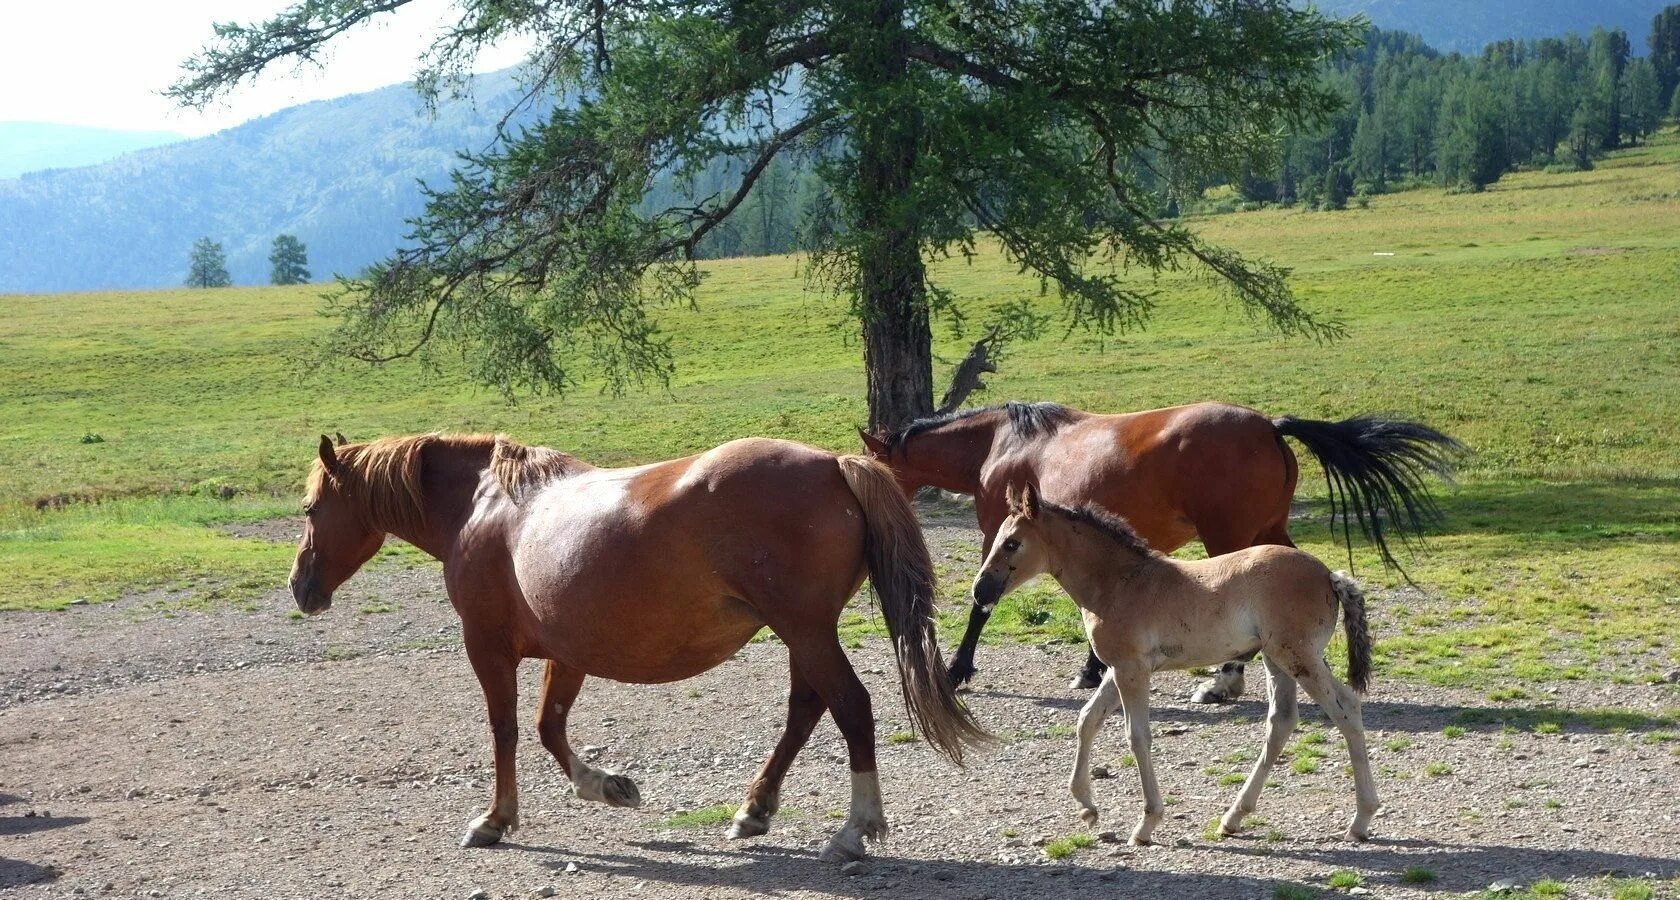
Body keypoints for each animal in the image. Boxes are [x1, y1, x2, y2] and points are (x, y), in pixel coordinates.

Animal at [287, 433, 981, 859]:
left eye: (312, 507)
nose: (301, 586)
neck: (484, 507)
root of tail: (834, 463)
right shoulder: (566, 653)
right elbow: (548, 727)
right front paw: (607, 786)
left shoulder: (486, 646)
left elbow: (506, 729)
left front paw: (496, 819)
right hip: (803, 636)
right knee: (806, 711)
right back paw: (754, 809)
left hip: (806, 632)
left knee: (851, 708)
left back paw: (854, 829)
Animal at [860, 401, 1464, 695]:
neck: (1004, 443)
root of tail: (1269, 425)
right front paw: (1091, 671)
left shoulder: (999, 535)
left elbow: (981, 604)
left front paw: (956, 669)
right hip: (1270, 533)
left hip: (1231, 538)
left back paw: (1224, 681)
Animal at [974, 483, 1377, 842]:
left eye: (1012, 543)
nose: (980, 591)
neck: (1120, 583)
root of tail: (1329, 575)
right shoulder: (1119, 669)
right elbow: (1087, 720)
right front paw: (1087, 807)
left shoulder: (1131, 671)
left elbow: (1136, 736)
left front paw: (1147, 823)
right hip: (1278, 660)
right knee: (1282, 722)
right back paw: (1233, 818)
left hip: (1299, 658)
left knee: (1345, 708)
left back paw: (1360, 820)